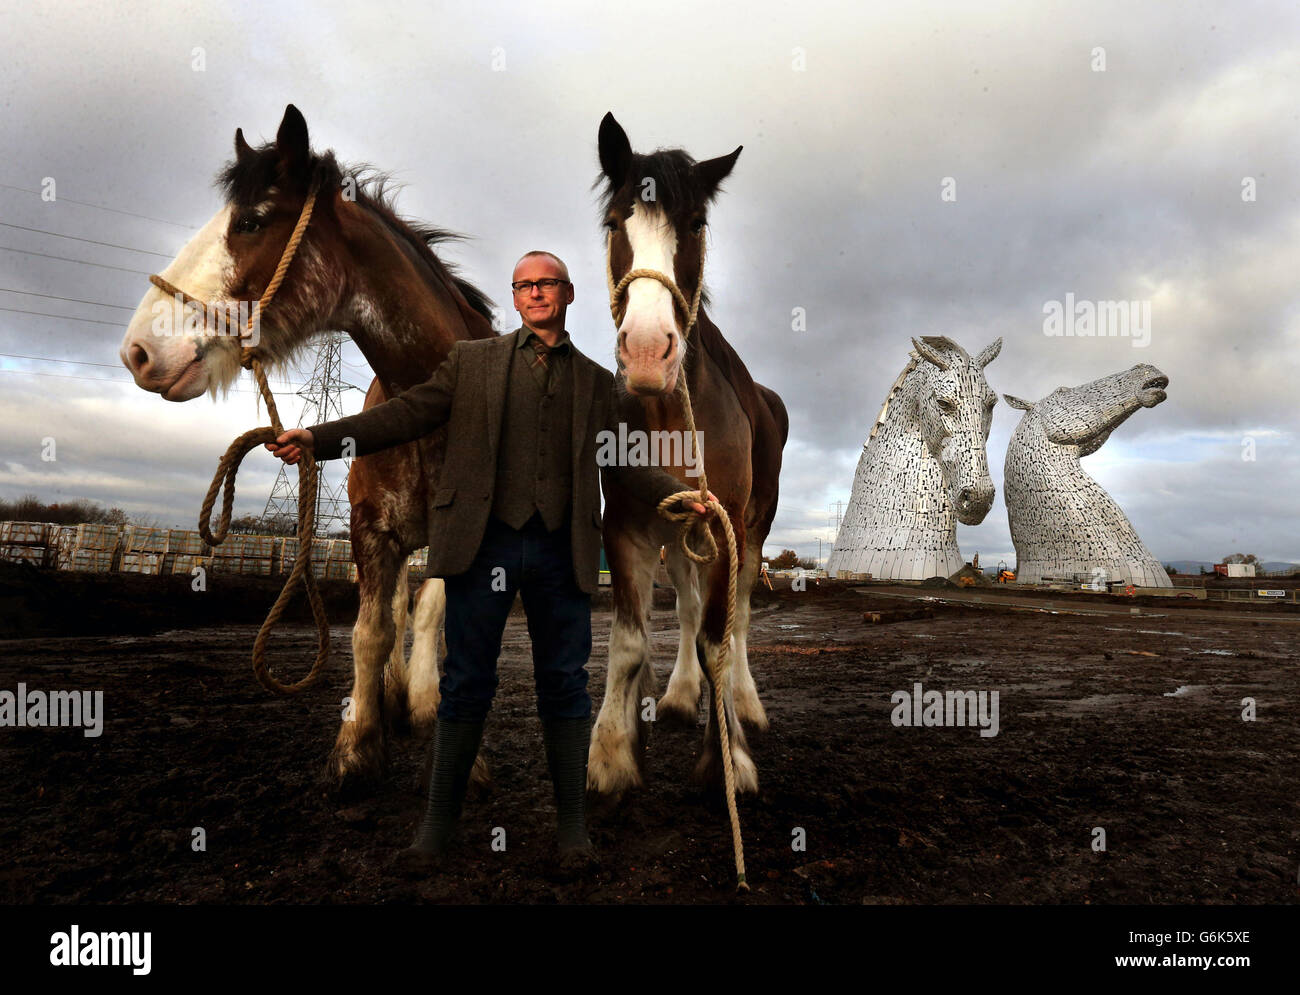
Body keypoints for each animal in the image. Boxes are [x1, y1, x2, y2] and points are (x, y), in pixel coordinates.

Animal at [118, 104, 496, 796]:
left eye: (251, 221)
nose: (139, 352)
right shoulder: (370, 533)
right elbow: (372, 631)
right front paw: (356, 751)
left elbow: (445, 626)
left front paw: (458, 747)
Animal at [592, 114, 790, 801]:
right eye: (614, 222)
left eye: (697, 224)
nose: (649, 351)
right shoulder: (625, 525)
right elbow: (630, 640)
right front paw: (613, 752)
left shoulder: (725, 528)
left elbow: (720, 639)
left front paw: (726, 761)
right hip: (679, 532)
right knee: (686, 606)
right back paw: (681, 694)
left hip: (750, 530)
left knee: (738, 618)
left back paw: (744, 704)